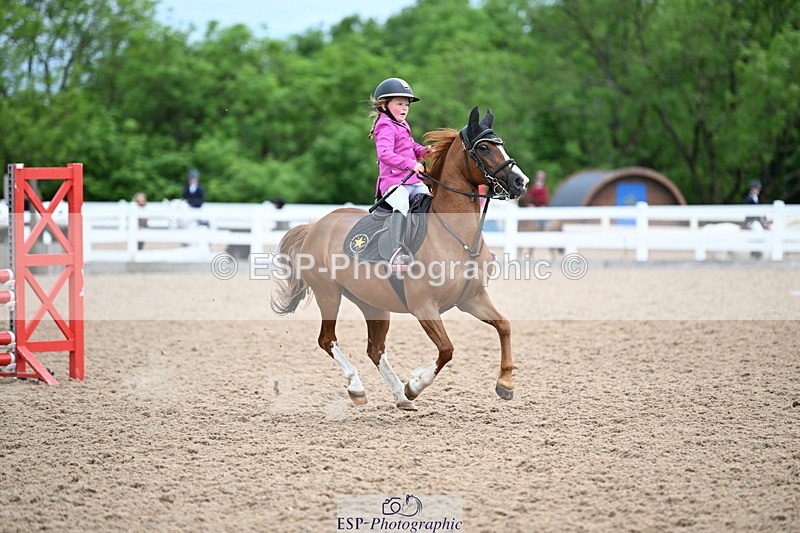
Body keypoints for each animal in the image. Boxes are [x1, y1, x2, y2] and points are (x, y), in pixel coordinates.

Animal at [270, 107, 529, 410]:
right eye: (485, 147)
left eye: (501, 144)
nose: (520, 182)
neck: (456, 237)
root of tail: (315, 227)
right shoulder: (424, 307)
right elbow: (447, 349)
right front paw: (415, 385)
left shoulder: (472, 299)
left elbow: (504, 326)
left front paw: (505, 384)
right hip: (328, 294)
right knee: (327, 340)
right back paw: (359, 387)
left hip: (373, 304)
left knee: (374, 349)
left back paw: (399, 396)